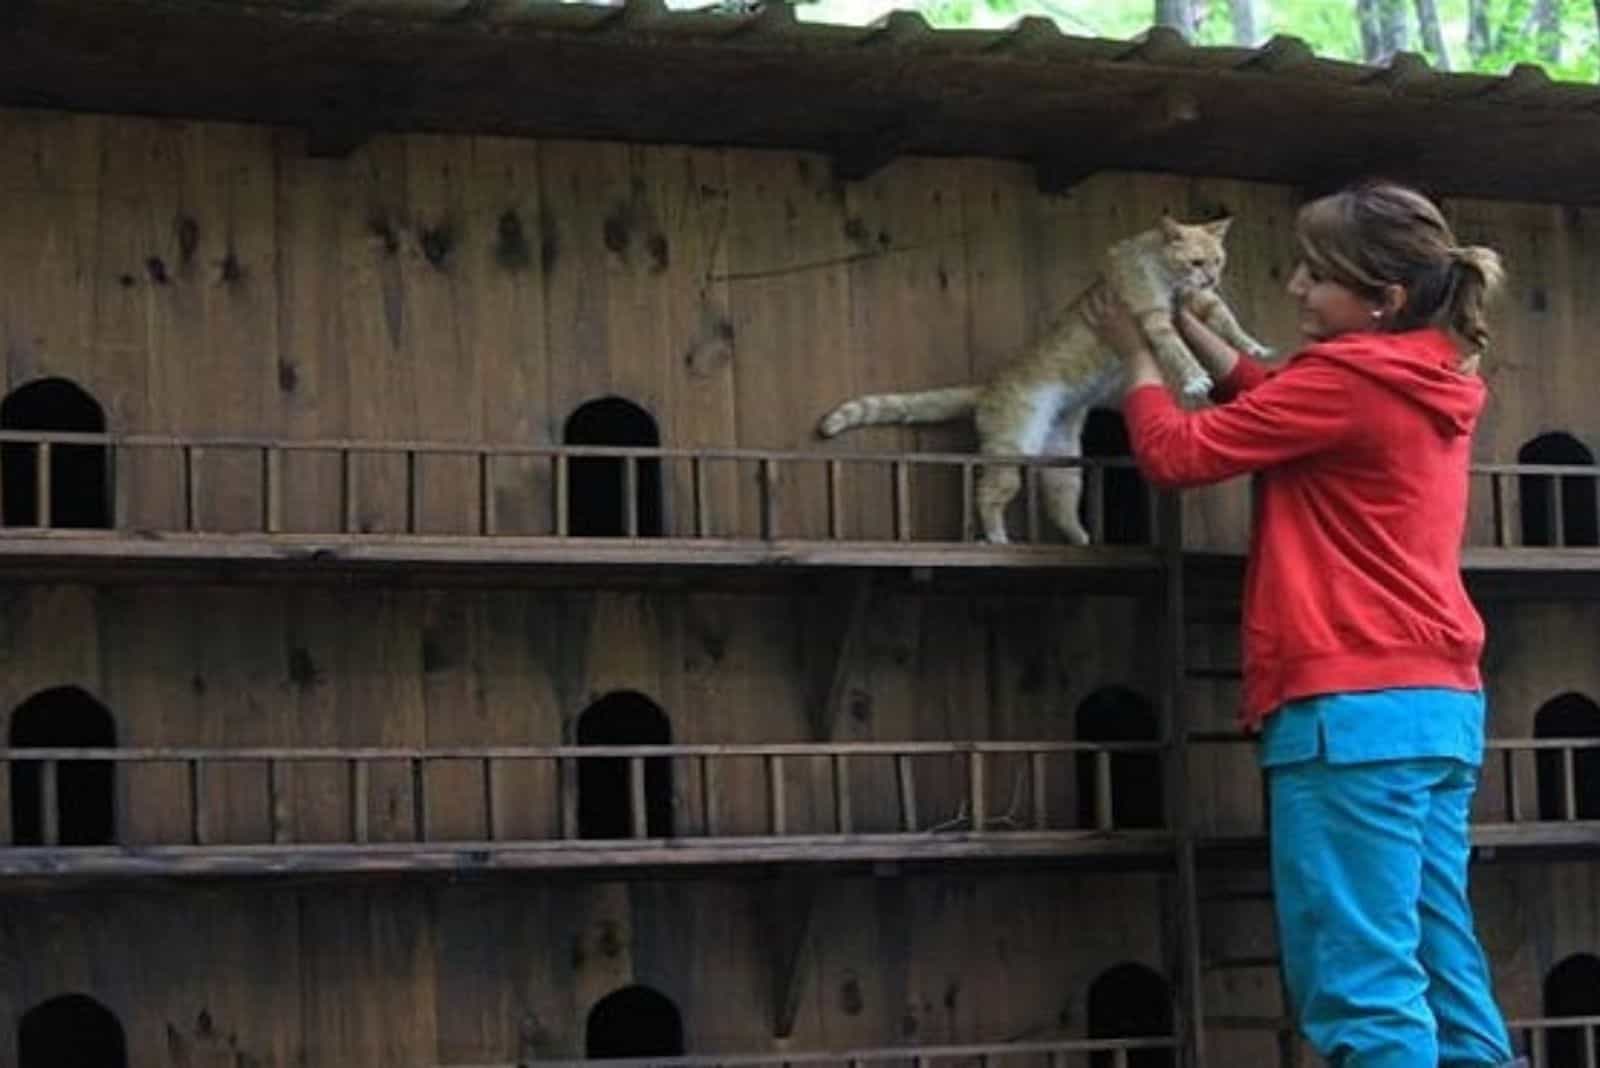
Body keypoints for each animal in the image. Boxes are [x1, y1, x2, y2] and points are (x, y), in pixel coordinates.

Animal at [819, 219, 1267, 549]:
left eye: (1219, 261)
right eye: (1196, 262)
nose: (1211, 278)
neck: (1164, 274)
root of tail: (988, 387)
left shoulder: (1199, 306)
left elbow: (1227, 323)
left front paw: (1255, 348)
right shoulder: (1155, 318)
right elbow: (1179, 351)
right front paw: (1195, 377)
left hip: (1064, 467)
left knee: (1060, 506)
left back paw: (1083, 540)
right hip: (1011, 450)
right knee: (987, 493)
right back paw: (997, 538)